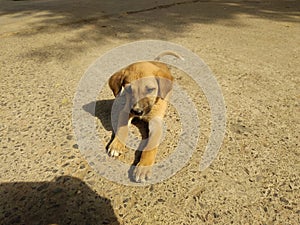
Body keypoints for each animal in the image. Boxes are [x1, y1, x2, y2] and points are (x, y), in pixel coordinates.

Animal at [108, 50, 183, 181]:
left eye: (150, 89)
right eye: (128, 89)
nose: (137, 112)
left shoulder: (156, 123)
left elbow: (151, 146)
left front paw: (143, 166)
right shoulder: (126, 111)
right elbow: (122, 128)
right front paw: (116, 145)